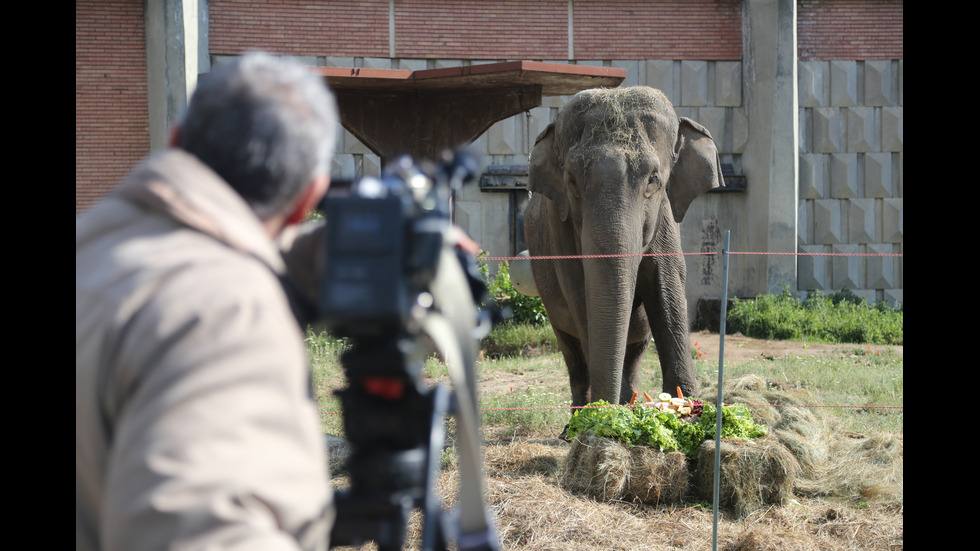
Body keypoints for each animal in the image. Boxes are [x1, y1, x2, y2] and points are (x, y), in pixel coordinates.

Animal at [524, 86, 724, 410]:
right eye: (571, 181)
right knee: (573, 355)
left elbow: (667, 288)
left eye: (653, 179)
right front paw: (608, 414)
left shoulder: (665, 220)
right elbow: (582, 297)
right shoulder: (559, 229)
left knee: (634, 351)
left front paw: (690, 406)